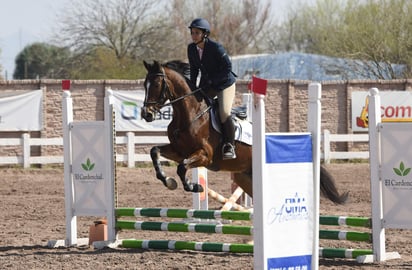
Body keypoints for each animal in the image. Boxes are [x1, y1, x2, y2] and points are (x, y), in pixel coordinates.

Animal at [141, 60, 348, 205]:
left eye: (157, 85)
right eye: (144, 85)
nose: (146, 114)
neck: (189, 114)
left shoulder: (204, 155)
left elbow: (182, 167)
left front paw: (194, 185)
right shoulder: (178, 151)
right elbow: (155, 151)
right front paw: (168, 180)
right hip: (244, 177)